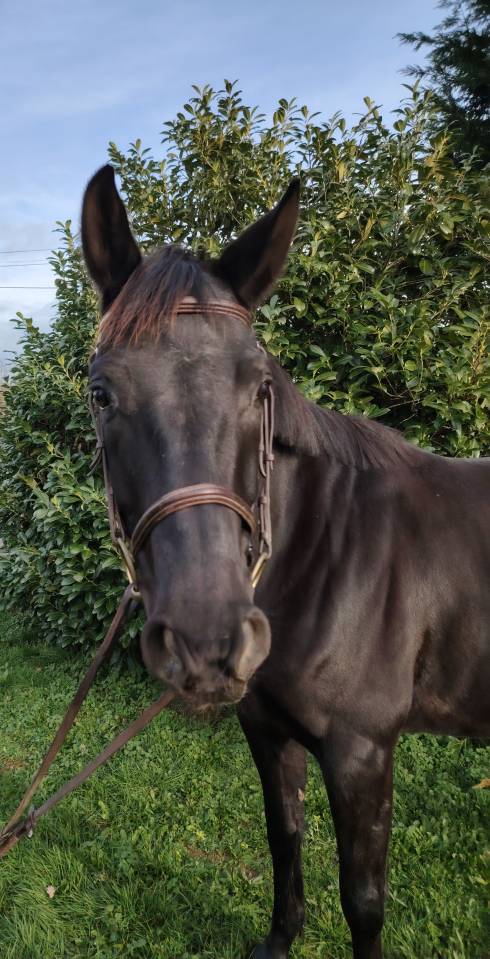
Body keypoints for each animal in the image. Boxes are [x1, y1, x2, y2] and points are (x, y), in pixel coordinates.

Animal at [82, 165, 490, 959]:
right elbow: (284, 837)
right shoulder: (268, 732)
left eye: (259, 386)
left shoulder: (363, 752)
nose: (208, 640)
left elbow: (364, 901)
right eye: (102, 392)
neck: (326, 559)